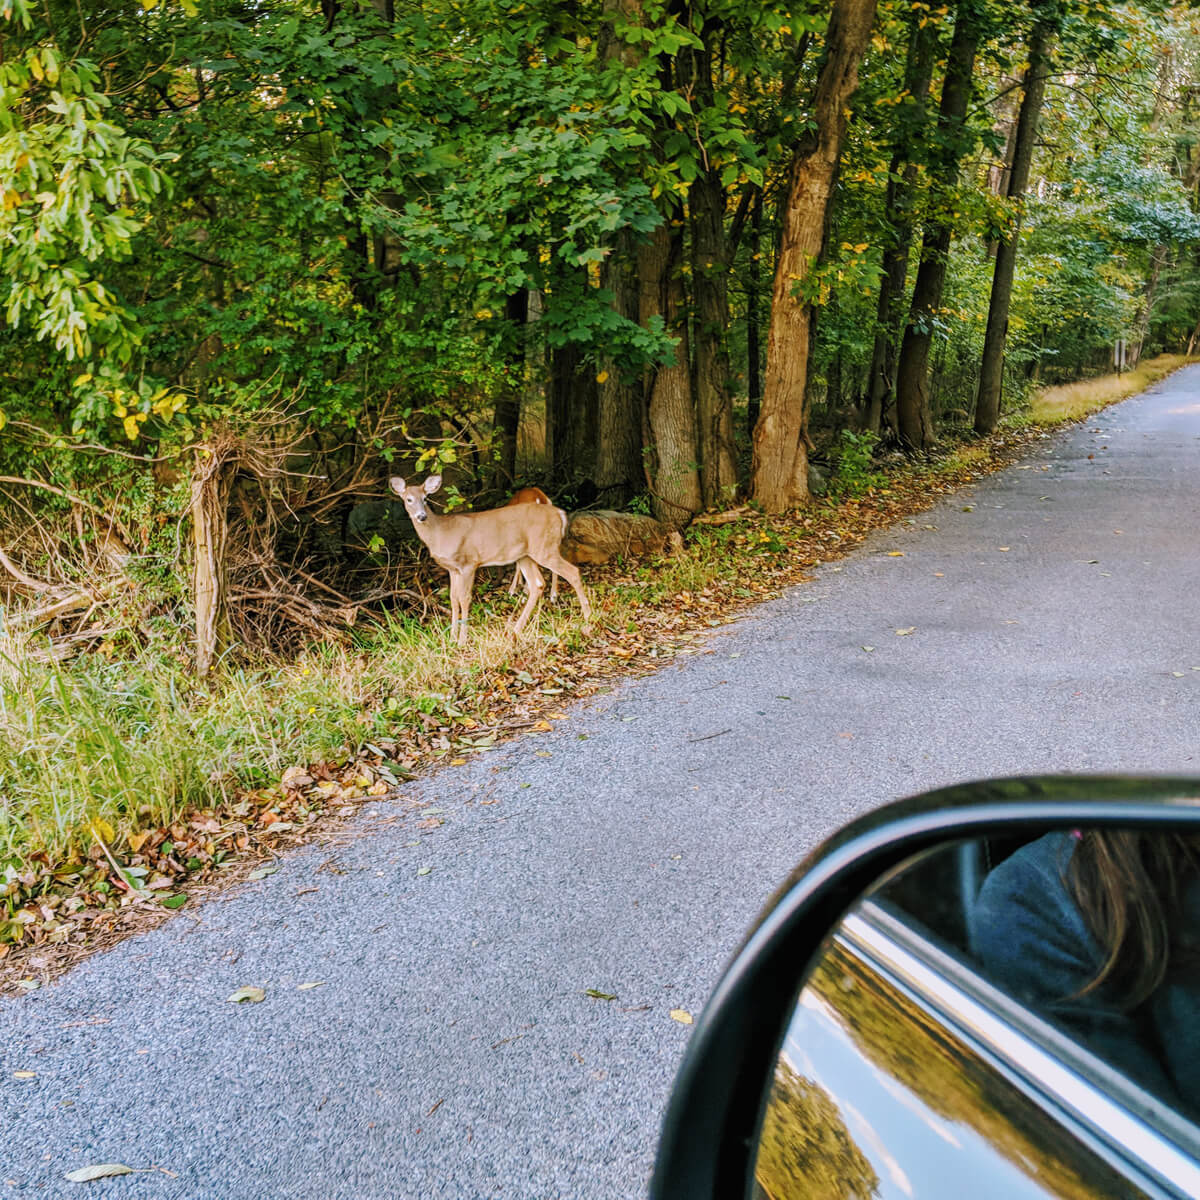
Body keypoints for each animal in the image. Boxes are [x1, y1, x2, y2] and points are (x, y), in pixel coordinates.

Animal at [391, 475, 592, 648]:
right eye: (408, 499)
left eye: (426, 498)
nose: (421, 516)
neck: (441, 533)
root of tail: (559, 513)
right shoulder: (453, 569)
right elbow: (453, 599)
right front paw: (451, 638)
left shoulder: (468, 563)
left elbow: (465, 598)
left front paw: (462, 640)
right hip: (526, 554)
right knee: (538, 584)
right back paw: (515, 630)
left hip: (544, 547)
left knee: (572, 572)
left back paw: (588, 618)